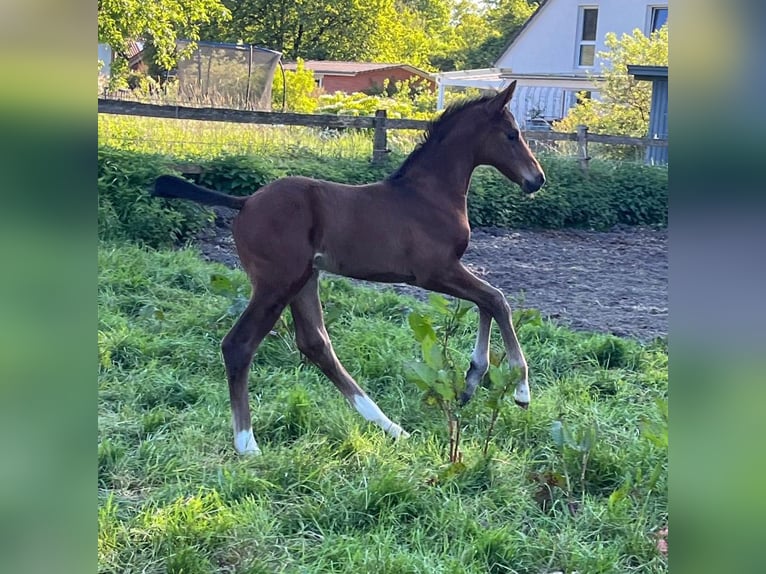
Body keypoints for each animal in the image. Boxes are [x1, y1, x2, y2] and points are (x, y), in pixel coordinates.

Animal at [153, 82, 544, 460]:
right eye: (512, 134)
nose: (537, 179)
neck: (427, 195)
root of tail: (245, 202)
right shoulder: (436, 271)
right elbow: (497, 299)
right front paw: (520, 389)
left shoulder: (446, 273)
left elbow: (487, 303)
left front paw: (471, 381)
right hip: (276, 283)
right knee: (240, 344)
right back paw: (247, 443)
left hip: (304, 279)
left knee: (315, 344)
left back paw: (390, 427)